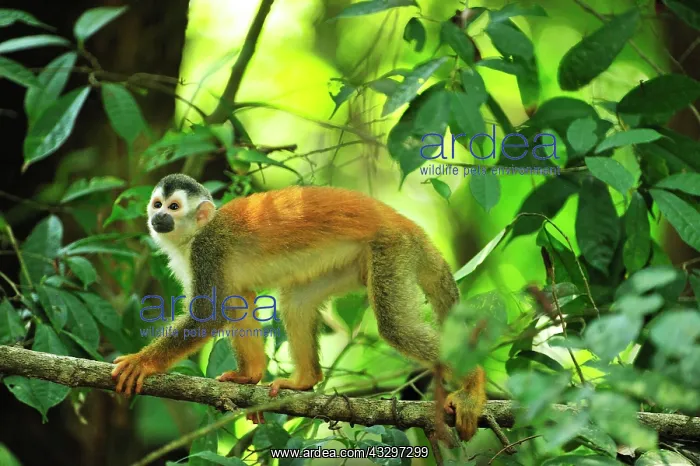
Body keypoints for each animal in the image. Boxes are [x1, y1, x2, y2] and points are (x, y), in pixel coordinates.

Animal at [111, 173, 486, 441]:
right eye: (157, 204)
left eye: (173, 208)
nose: (158, 217)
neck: (195, 234)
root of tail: (407, 225)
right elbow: (238, 299)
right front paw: (250, 375)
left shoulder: (207, 250)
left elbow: (211, 313)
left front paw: (142, 362)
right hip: (354, 262)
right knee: (298, 300)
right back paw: (305, 382)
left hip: (390, 249)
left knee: (396, 327)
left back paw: (472, 383)